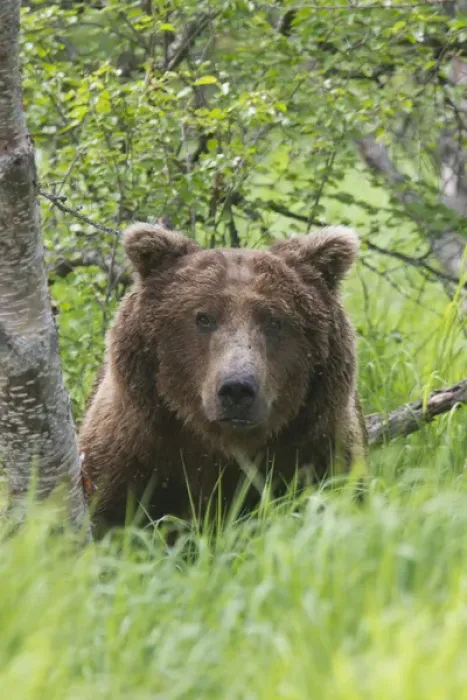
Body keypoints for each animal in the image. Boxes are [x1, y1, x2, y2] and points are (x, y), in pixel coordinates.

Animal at [79, 222, 367, 535]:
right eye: (204, 318)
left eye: (274, 320)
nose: (237, 389)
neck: (222, 446)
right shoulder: (133, 455)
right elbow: (114, 515)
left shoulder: (319, 453)